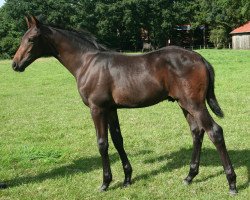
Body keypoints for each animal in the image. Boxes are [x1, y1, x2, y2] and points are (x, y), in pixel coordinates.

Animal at [7, 16, 237, 195]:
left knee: (215, 132)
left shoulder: (97, 108)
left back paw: (232, 183)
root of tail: (200, 57)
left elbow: (102, 143)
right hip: (184, 104)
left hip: (195, 104)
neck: (86, 63)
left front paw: (105, 183)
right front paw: (127, 178)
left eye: (31, 39)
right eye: (22, 38)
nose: (15, 64)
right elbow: (118, 140)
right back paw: (189, 176)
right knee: (197, 132)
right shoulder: (111, 109)